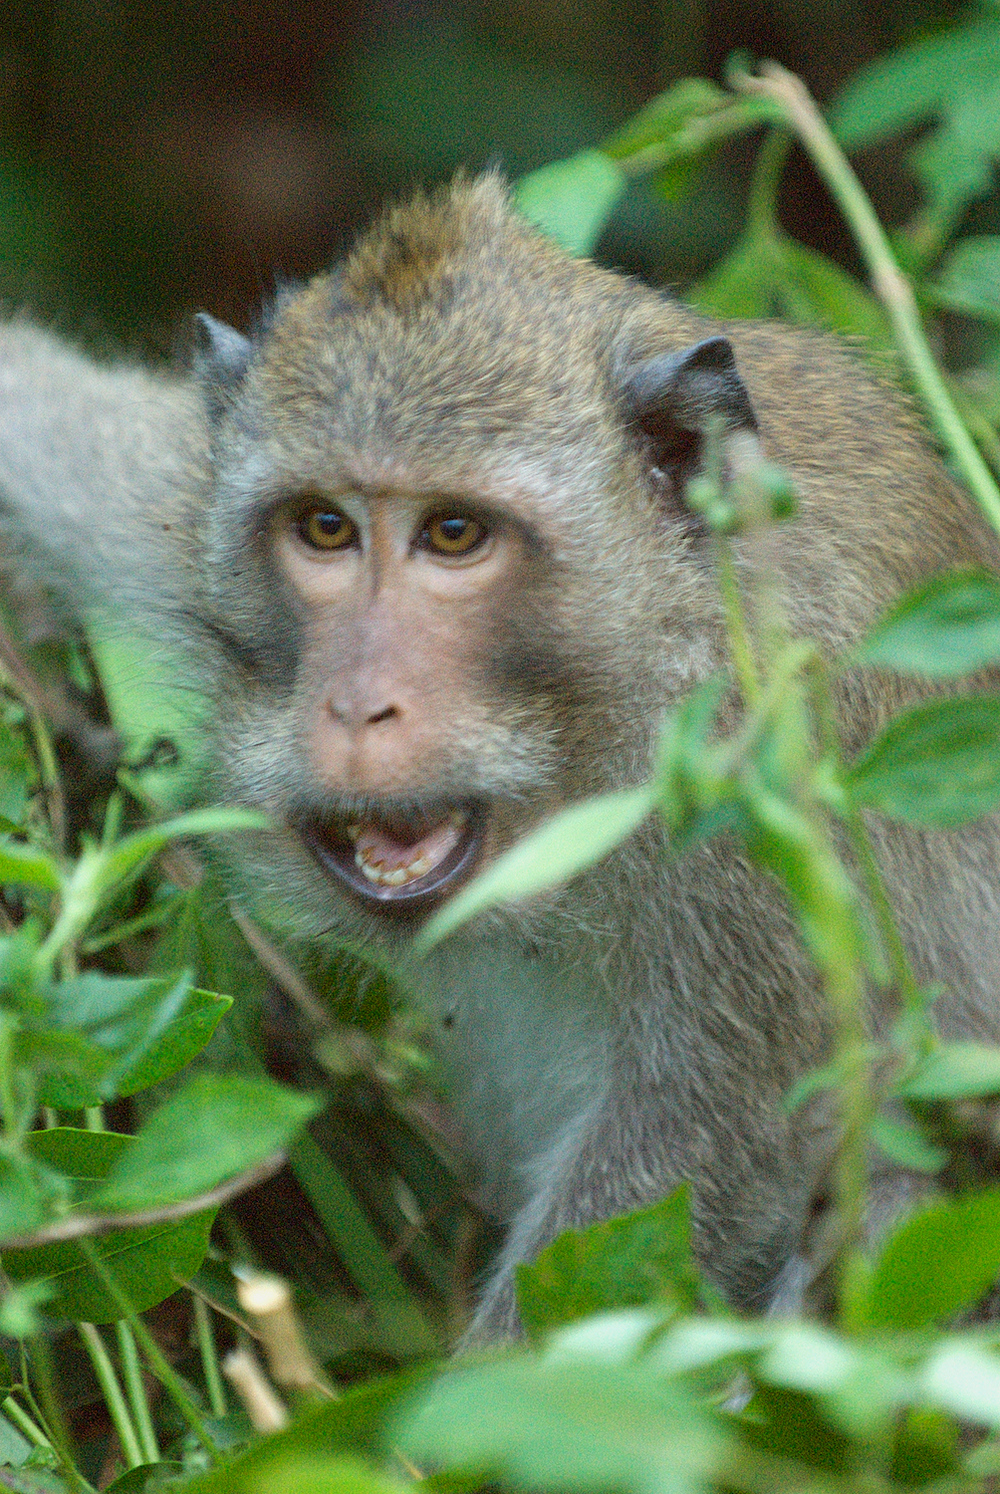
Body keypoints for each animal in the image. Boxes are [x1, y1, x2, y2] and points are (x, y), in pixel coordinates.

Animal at [1, 177, 998, 1344]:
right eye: (326, 528)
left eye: (454, 535)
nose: (356, 704)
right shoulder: (177, 508)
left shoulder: (774, 761)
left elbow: (704, 1147)